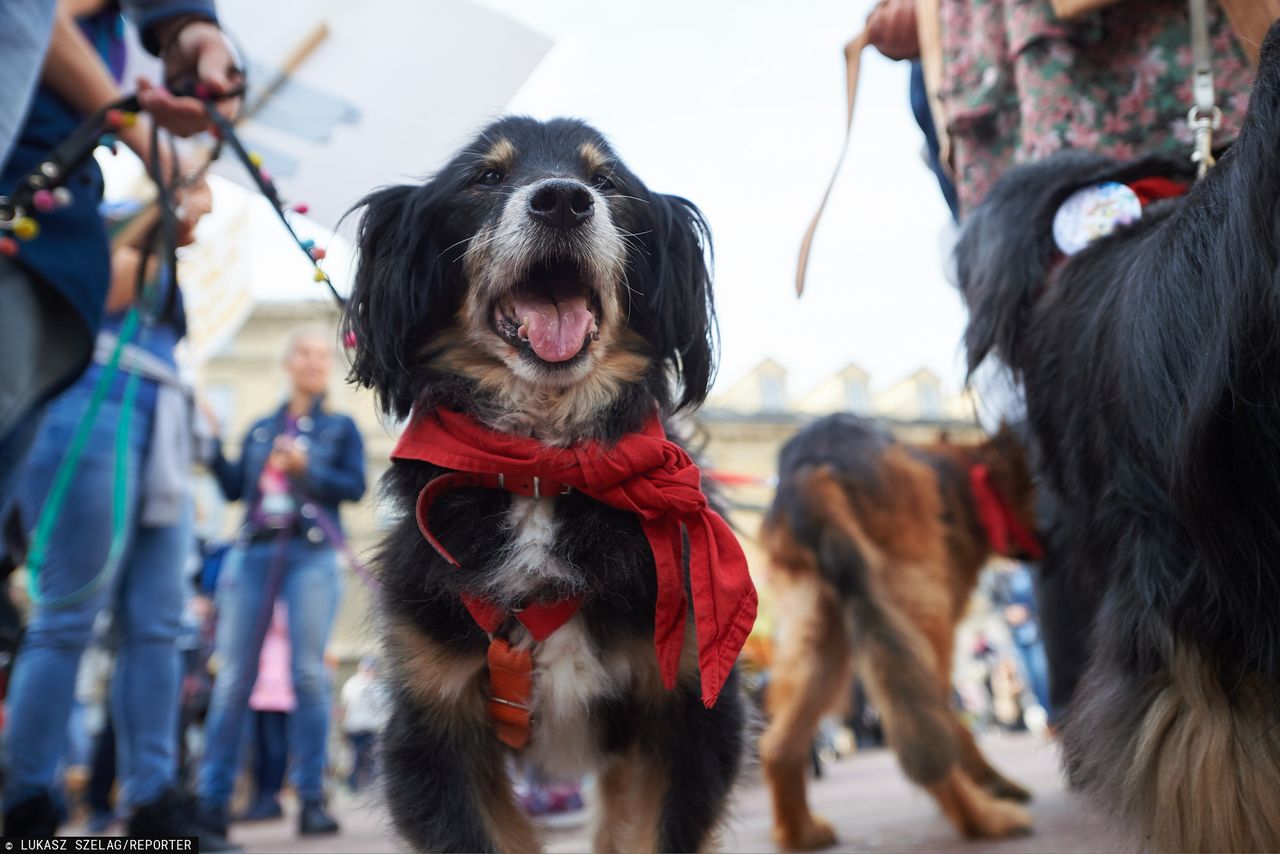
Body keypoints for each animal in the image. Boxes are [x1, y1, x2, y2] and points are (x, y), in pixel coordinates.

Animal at [345, 118, 752, 854]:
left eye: (608, 182)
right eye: (486, 177)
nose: (562, 200)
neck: (542, 464)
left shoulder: (684, 709)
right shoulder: (434, 721)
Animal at [757, 414, 1039, 850]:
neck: (972, 478)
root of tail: (807, 462)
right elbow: (952, 722)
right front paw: (990, 784)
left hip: (825, 637)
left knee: (779, 745)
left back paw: (799, 832)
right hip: (918, 614)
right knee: (921, 728)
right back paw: (984, 821)